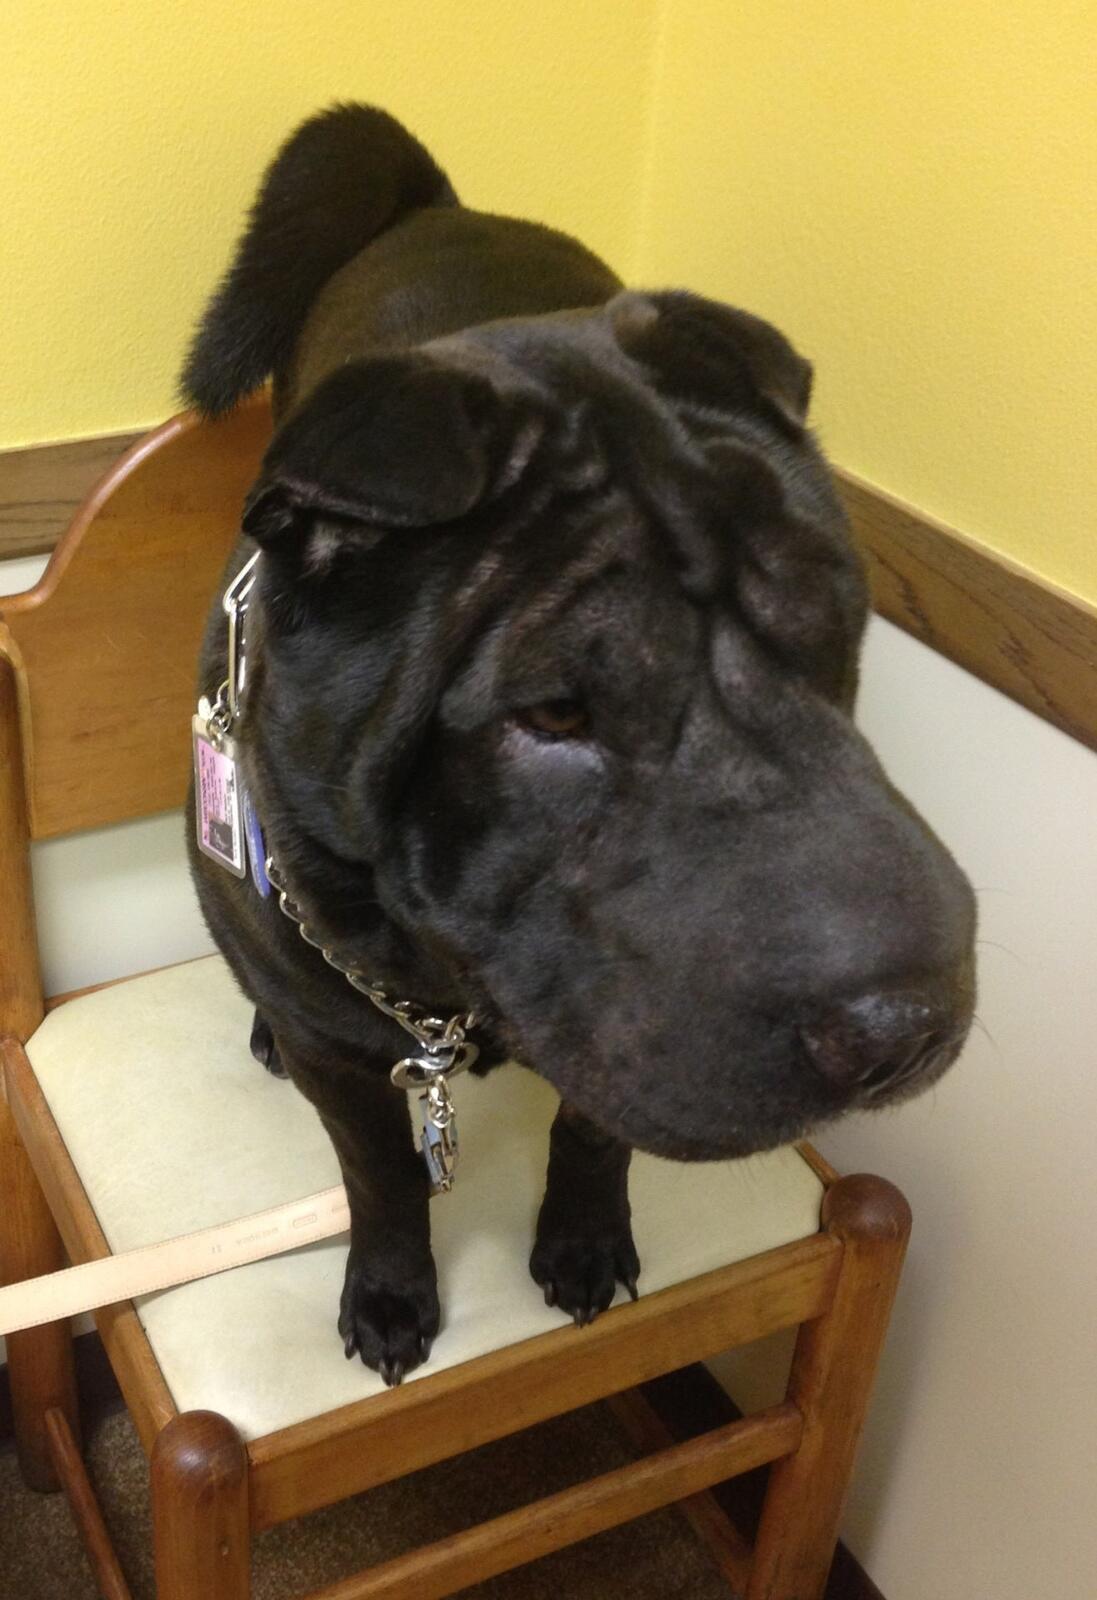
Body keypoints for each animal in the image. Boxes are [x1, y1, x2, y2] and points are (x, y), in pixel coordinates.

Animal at [182, 104, 976, 1386]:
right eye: (553, 714)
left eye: (828, 631)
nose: (908, 1024)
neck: (439, 992)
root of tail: (445, 205)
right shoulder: (346, 1057)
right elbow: (380, 1174)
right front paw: (392, 1291)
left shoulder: (610, 1019)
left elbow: (596, 1135)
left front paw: (584, 1242)